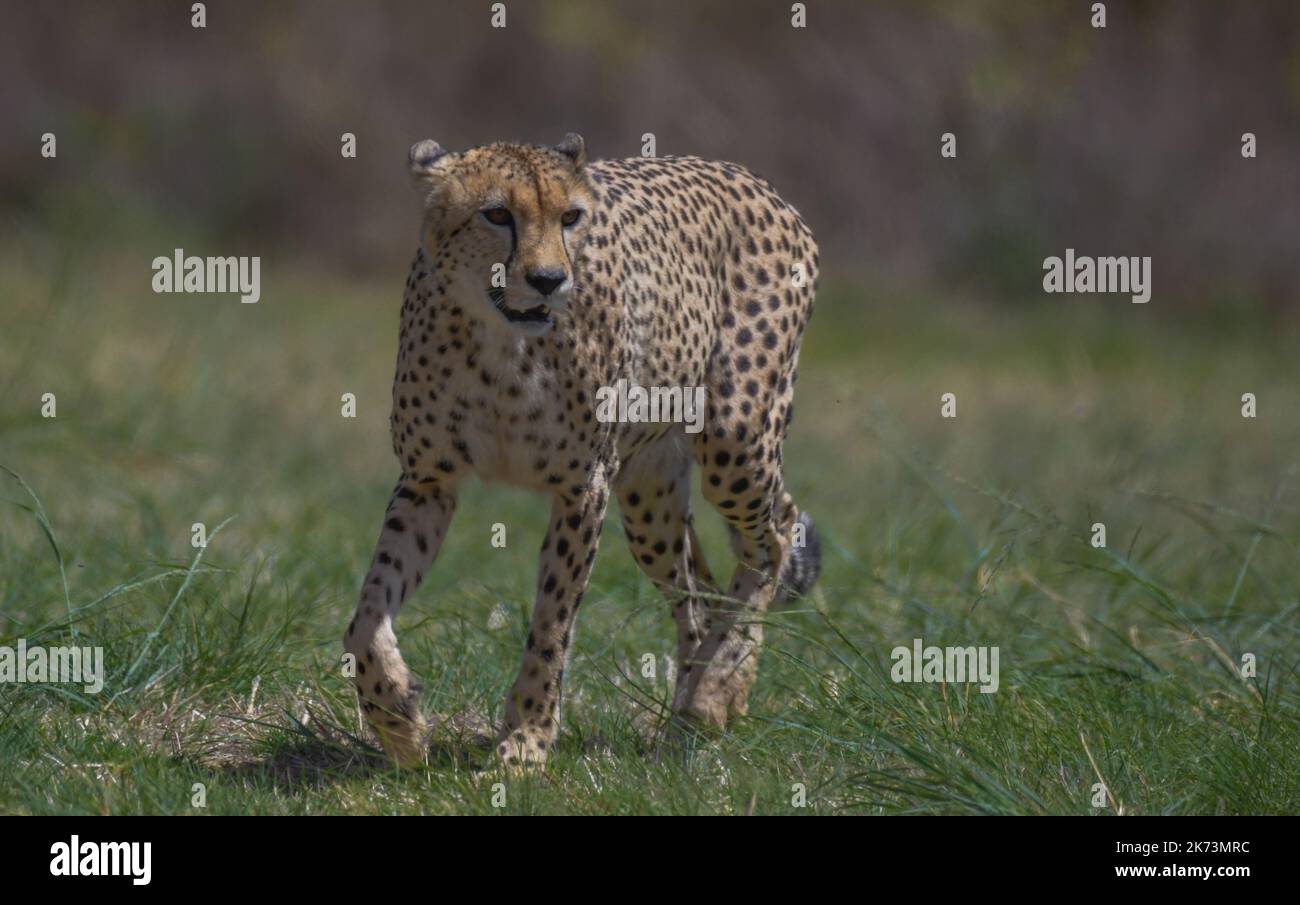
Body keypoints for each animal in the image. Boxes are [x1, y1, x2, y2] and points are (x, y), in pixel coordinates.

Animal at [343, 133, 821, 767]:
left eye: (570, 217)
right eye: (497, 214)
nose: (549, 279)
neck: (503, 344)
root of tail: (751, 178)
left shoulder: (582, 487)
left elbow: (552, 623)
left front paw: (525, 742)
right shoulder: (428, 481)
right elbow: (367, 614)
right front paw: (396, 719)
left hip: (734, 439)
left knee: (775, 530)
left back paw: (719, 688)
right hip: (647, 495)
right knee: (700, 590)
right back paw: (695, 708)